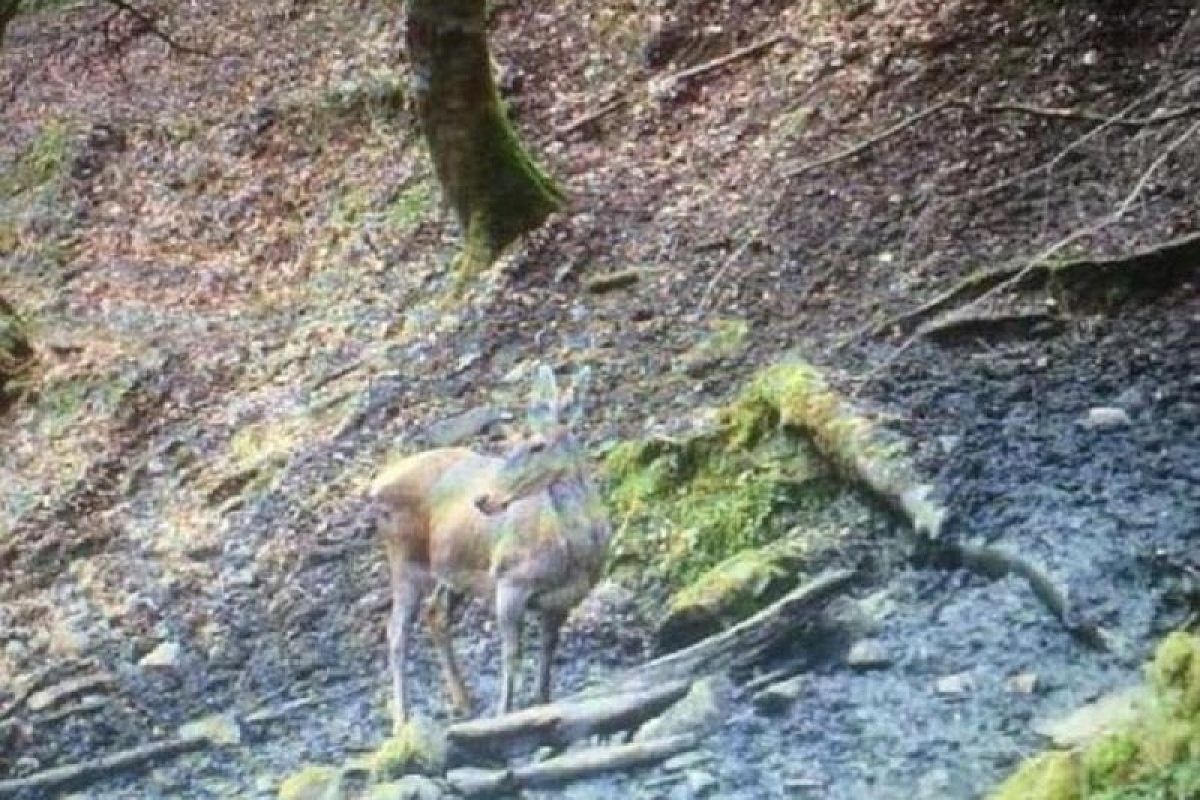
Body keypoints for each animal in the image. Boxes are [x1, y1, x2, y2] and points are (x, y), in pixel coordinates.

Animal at [367, 367, 609, 729]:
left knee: (435, 612)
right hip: (405, 557)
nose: (484, 498)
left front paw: (543, 701)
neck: (573, 555)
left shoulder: (564, 598)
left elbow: (548, 648)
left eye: (538, 445)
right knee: (396, 630)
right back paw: (402, 720)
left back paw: (463, 702)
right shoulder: (510, 580)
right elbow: (512, 653)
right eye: (511, 440)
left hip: (451, 569)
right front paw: (504, 712)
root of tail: (375, 487)